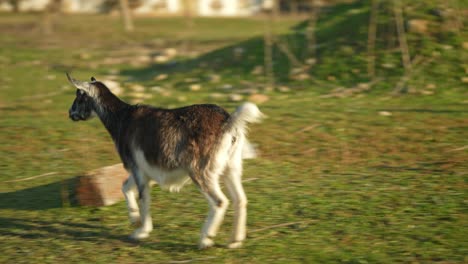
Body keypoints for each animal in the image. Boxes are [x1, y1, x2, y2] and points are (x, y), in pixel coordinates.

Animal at [66, 73, 264, 249]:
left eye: (79, 96)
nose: (70, 113)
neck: (122, 118)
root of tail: (228, 122)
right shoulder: (142, 169)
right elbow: (125, 187)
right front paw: (134, 219)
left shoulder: (137, 168)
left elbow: (143, 197)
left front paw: (142, 231)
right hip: (231, 167)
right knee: (240, 199)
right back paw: (235, 241)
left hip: (200, 170)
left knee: (219, 202)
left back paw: (205, 239)